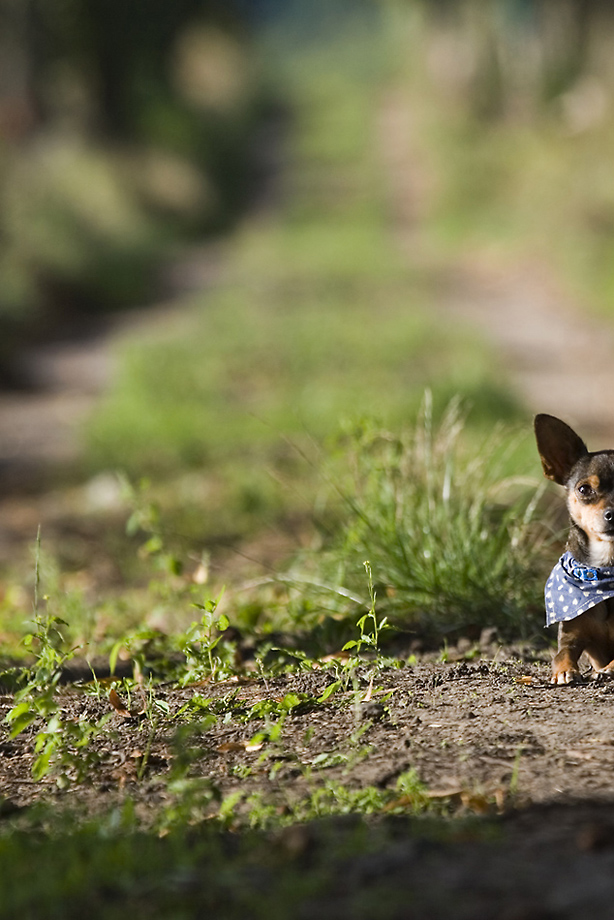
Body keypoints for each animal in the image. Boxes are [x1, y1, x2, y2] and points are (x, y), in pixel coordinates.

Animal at [536, 416, 614, 684]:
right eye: (584, 489)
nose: (612, 514)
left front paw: (609, 667)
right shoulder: (572, 637)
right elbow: (561, 656)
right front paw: (564, 671)